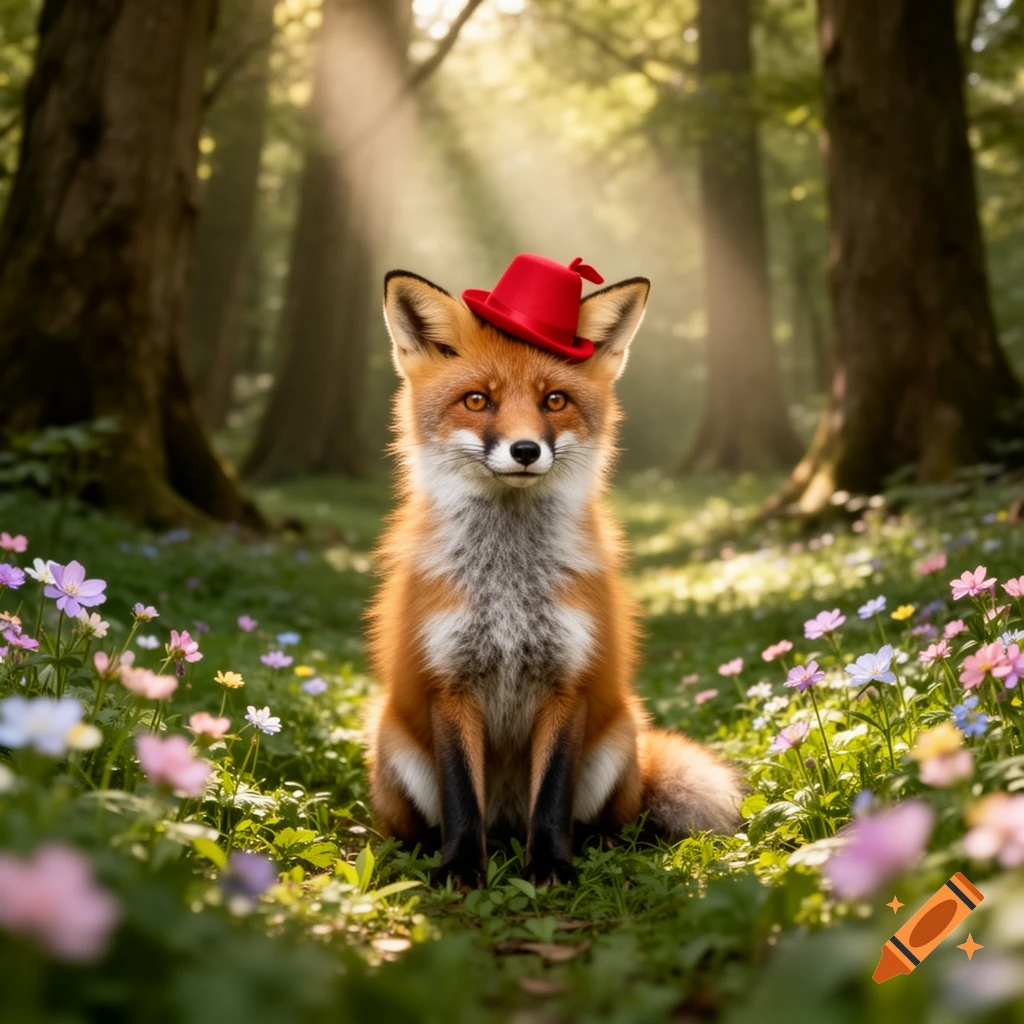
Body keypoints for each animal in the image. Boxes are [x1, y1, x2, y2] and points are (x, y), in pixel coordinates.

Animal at [364, 264, 743, 888]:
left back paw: (592, 849)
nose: (524, 450)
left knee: (607, 821)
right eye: (477, 400)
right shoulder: (449, 682)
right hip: (393, 744)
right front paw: (462, 870)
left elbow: (553, 798)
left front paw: (550, 870)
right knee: (424, 825)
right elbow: (460, 799)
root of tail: (506, 819)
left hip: (618, 740)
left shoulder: (570, 681)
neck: (509, 587)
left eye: (554, 400)